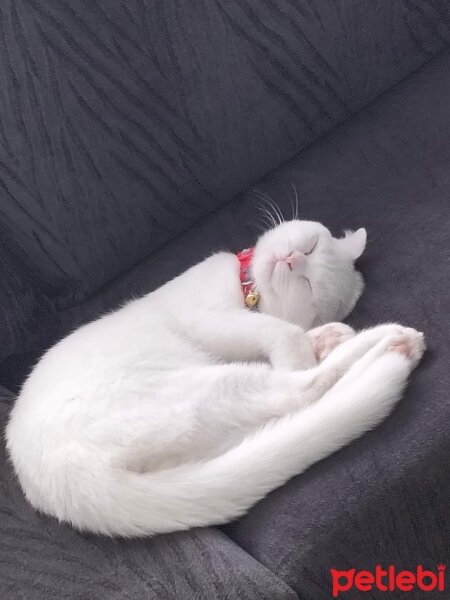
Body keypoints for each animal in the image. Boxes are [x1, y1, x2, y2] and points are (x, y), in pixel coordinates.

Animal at [5, 221, 424, 540]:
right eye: (311, 245)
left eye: (307, 284)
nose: (292, 260)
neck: (248, 294)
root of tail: (69, 490)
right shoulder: (214, 318)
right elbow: (283, 333)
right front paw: (314, 341)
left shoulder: (221, 323)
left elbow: (284, 332)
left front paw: (317, 339)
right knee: (300, 393)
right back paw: (379, 343)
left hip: (212, 390)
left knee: (301, 391)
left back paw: (390, 341)